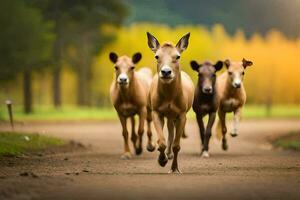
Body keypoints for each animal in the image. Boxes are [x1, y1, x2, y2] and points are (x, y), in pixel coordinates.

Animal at [147, 32, 195, 173]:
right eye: (157, 56)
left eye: (177, 56)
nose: (166, 72)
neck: (169, 97)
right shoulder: (156, 111)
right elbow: (161, 141)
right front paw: (161, 160)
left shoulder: (182, 114)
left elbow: (177, 145)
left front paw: (175, 169)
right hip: (166, 114)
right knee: (169, 129)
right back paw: (166, 155)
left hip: (174, 115)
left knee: (171, 130)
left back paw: (169, 155)